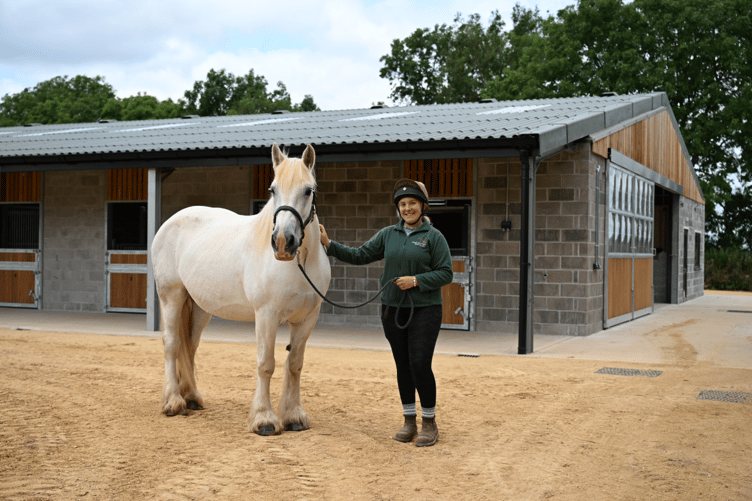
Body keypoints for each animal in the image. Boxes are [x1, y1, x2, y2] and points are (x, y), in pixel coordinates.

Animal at [151, 143, 330, 436]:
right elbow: (266, 364)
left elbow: (294, 364)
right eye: (272, 189)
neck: (299, 264)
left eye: (308, 190)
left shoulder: (306, 319)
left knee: (190, 345)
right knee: (171, 343)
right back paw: (174, 402)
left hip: (199, 307)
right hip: (172, 297)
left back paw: (192, 397)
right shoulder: (266, 316)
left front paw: (293, 416)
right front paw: (264, 419)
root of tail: (170, 222)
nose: (283, 243)